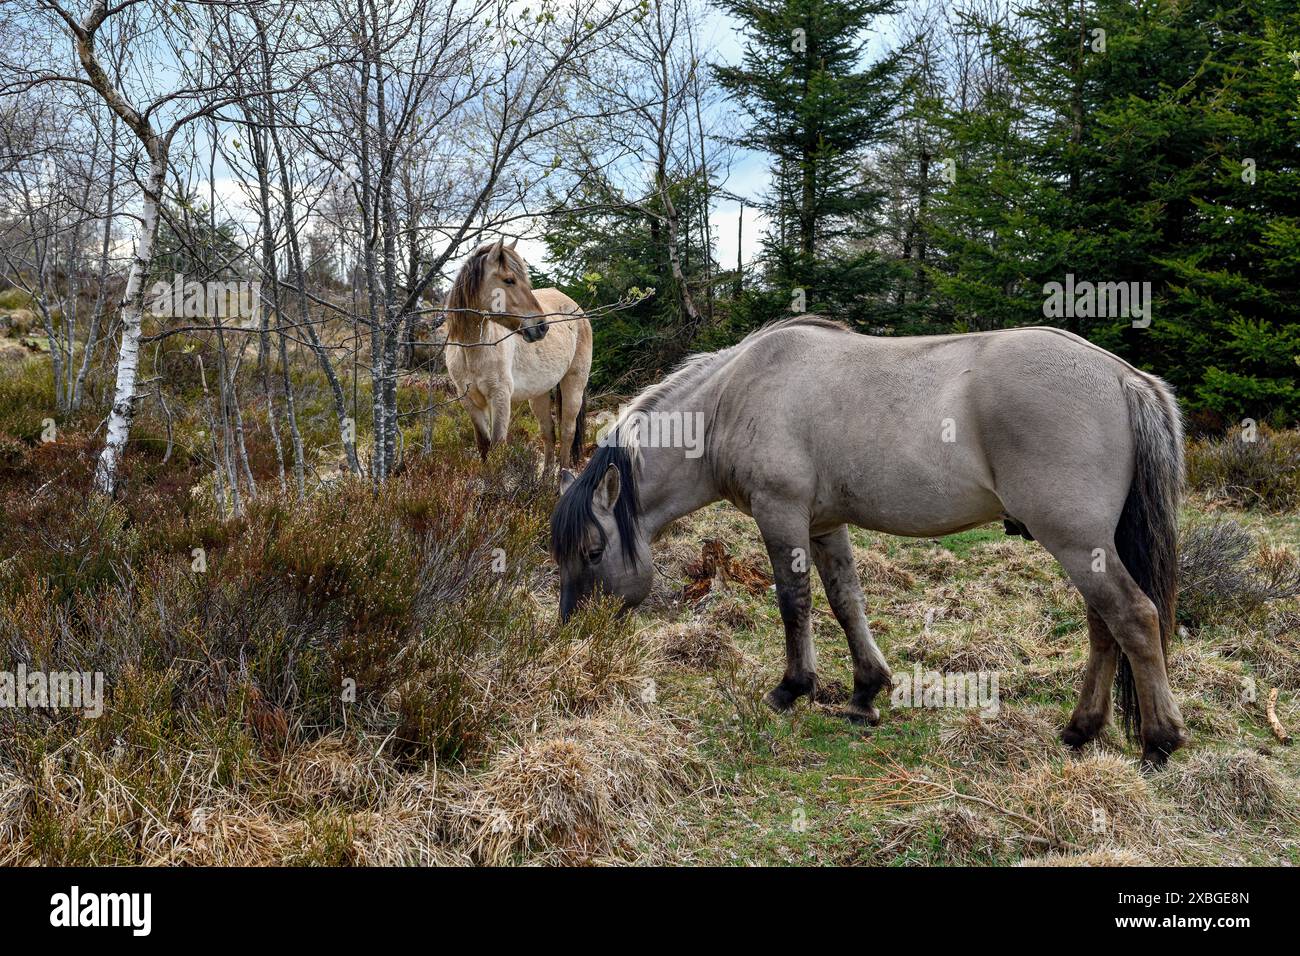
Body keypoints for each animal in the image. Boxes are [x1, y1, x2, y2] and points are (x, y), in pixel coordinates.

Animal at [444, 235, 592, 468]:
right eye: (509, 280)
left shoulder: (500, 397)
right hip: (539, 393)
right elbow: (484, 445)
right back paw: (545, 478)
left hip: (574, 383)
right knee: (548, 433)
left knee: (567, 432)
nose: (542, 327)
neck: (472, 351)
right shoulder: (469, 402)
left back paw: (562, 476)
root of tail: (578, 310)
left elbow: (497, 446)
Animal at [548, 317, 1190, 764]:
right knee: (1104, 629)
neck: (733, 397)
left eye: (593, 551)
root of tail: (1122, 376)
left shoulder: (781, 515)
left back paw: (1159, 740)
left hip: (1075, 542)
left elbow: (795, 603)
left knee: (1134, 618)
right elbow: (846, 602)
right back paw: (1082, 729)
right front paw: (865, 693)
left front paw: (792, 688)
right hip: (1089, 547)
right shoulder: (824, 524)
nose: (576, 630)